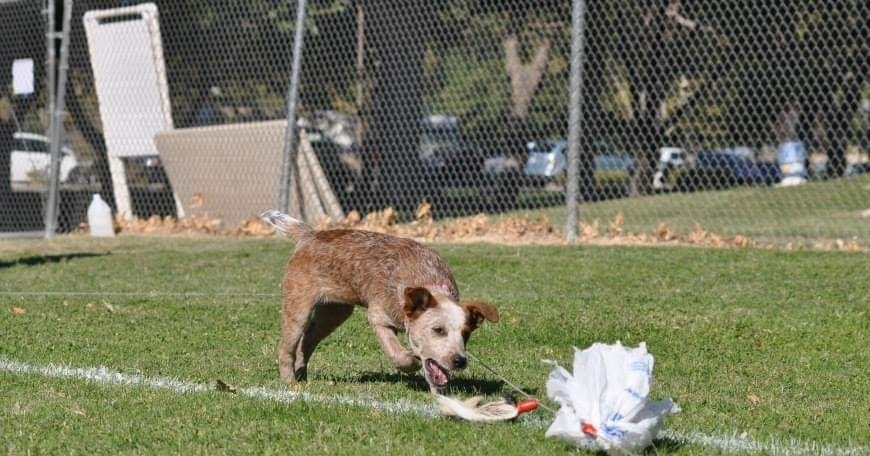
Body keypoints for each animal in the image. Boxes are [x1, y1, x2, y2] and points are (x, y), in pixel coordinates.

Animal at [262, 210, 500, 392]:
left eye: (466, 334)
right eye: (438, 330)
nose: (460, 360)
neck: (428, 282)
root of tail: (310, 234)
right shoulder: (378, 318)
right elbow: (398, 355)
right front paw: (411, 361)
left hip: (335, 313)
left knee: (308, 340)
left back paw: (302, 374)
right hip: (298, 308)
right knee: (287, 348)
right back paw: (290, 382)